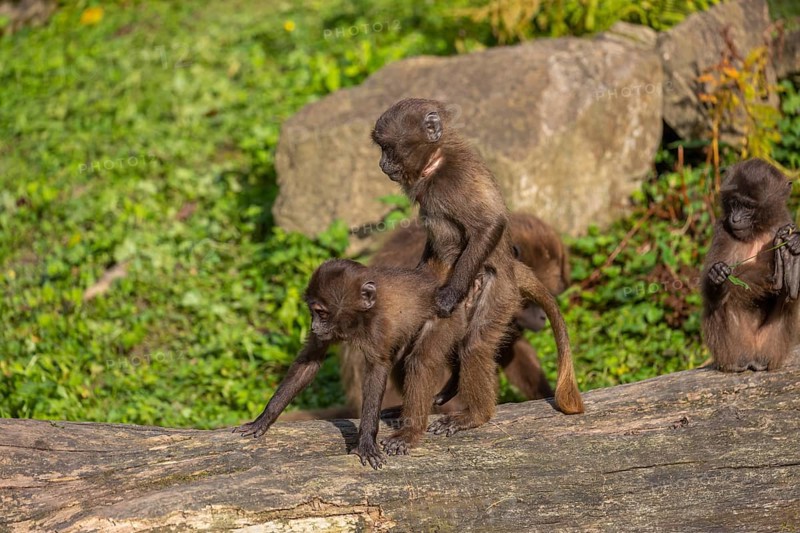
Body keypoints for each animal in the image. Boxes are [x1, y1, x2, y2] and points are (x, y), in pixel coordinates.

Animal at [234, 259, 467, 468]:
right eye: (312, 312)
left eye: (321, 312)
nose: (314, 326)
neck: (358, 318)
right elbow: (308, 363)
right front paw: (264, 419)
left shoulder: (378, 326)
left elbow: (377, 371)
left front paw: (366, 441)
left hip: (448, 315)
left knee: (421, 361)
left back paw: (411, 431)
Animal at [371, 98, 583, 447]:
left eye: (388, 147)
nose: (381, 164)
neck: (437, 162)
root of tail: (512, 271)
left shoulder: (456, 179)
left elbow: (489, 225)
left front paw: (448, 295)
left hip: (500, 293)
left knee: (476, 344)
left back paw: (475, 415)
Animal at [701, 158, 800, 373]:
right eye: (735, 203)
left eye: (748, 206)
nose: (736, 218)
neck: (757, 230)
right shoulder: (722, 229)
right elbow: (710, 287)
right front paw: (718, 276)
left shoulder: (783, 222)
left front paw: (794, 245)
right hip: (735, 346)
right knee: (717, 303)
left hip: (771, 345)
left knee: (791, 299)